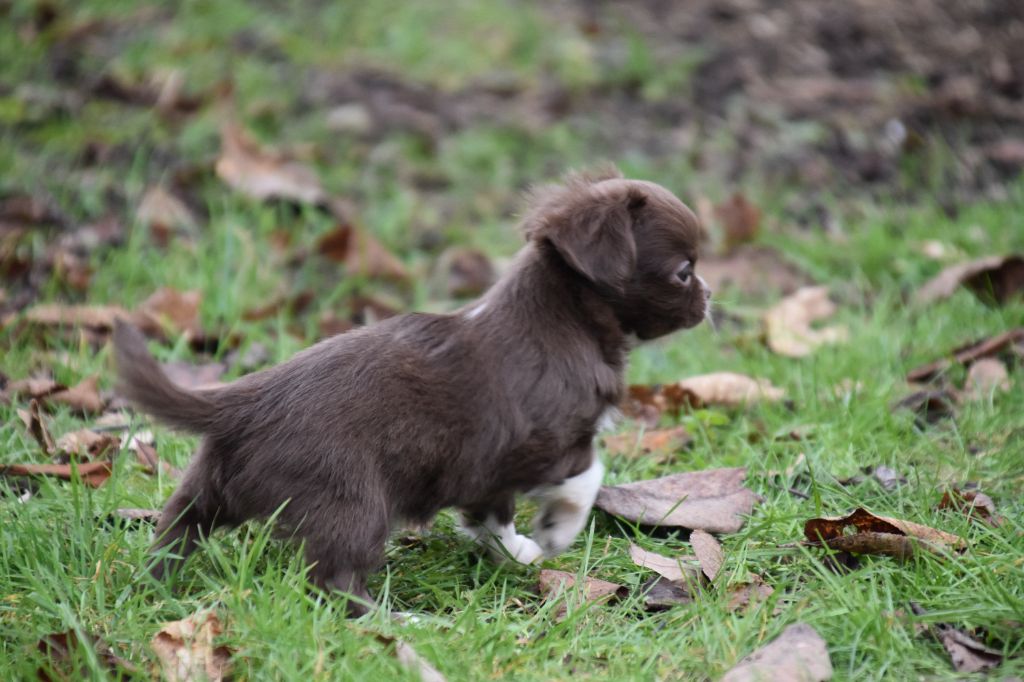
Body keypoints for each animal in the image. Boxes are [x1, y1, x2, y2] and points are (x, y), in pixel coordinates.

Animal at [110, 166, 704, 614]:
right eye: (683, 272)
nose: (709, 298)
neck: (566, 319)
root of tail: (243, 403)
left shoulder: (482, 471)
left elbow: (489, 516)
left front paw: (517, 553)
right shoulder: (543, 445)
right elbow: (588, 473)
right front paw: (557, 531)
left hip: (206, 488)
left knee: (177, 530)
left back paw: (153, 586)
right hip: (353, 504)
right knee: (334, 582)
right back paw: (400, 621)